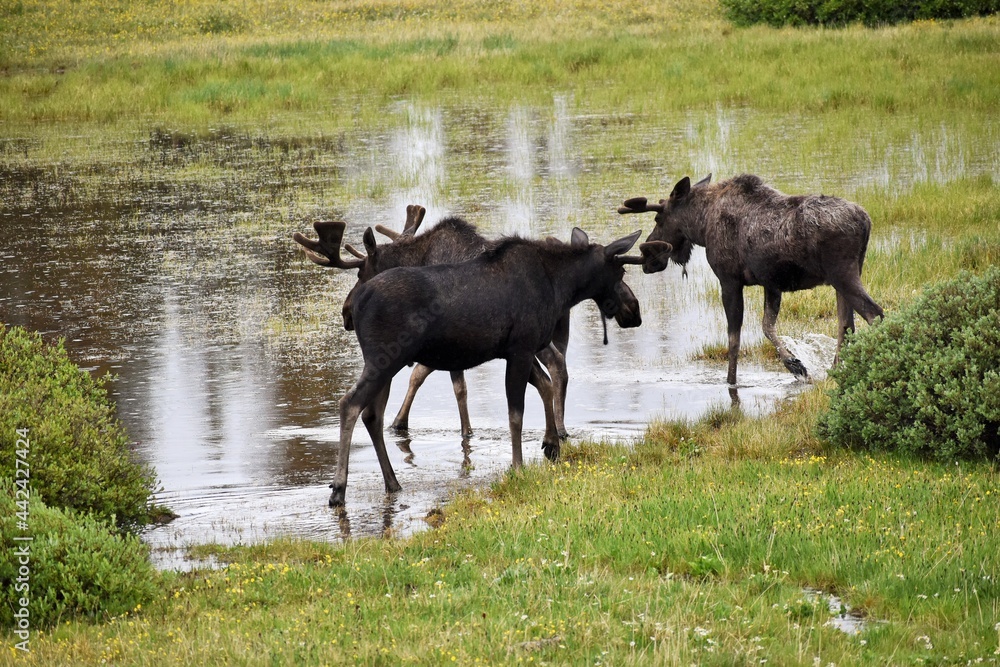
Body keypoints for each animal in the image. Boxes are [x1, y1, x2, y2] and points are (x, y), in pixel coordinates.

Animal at [320, 230, 648, 506]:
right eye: (621, 271)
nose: (634, 311)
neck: (561, 288)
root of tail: (357, 305)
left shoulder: (518, 350)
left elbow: (545, 385)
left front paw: (552, 444)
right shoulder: (521, 348)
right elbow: (516, 414)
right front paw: (519, 466)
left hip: (385, 366)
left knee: (372, 415)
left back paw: (392, 482)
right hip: (384, 359)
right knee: (350, 404)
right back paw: (339, 489)